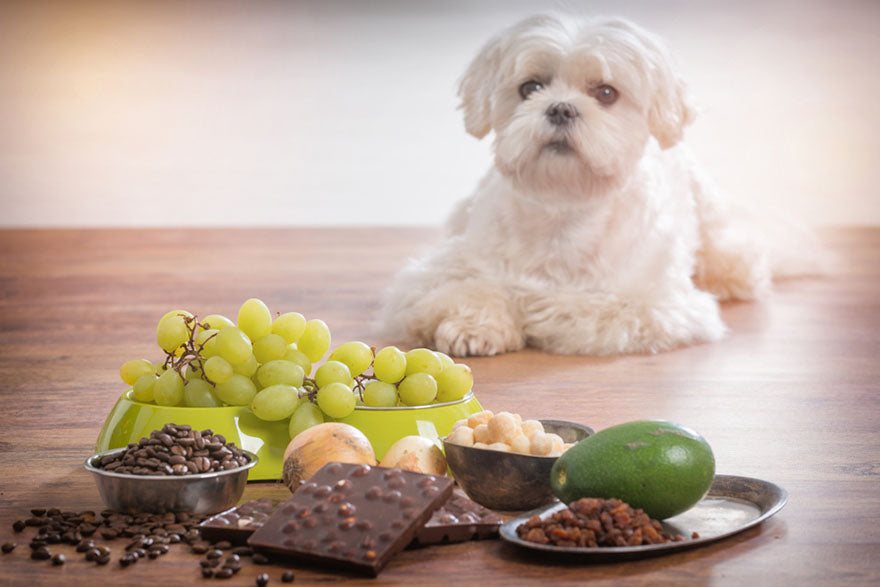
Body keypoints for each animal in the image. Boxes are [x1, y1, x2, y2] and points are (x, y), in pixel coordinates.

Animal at [382, 14, 772, 358]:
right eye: (530, 87)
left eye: (606, 92)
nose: (561, 109)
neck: (563, 211)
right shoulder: (438, 271)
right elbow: (464, 288)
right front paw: (475, 325)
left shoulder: (654, 304)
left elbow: (570, 307)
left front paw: (526, 306)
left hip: (710, 217)